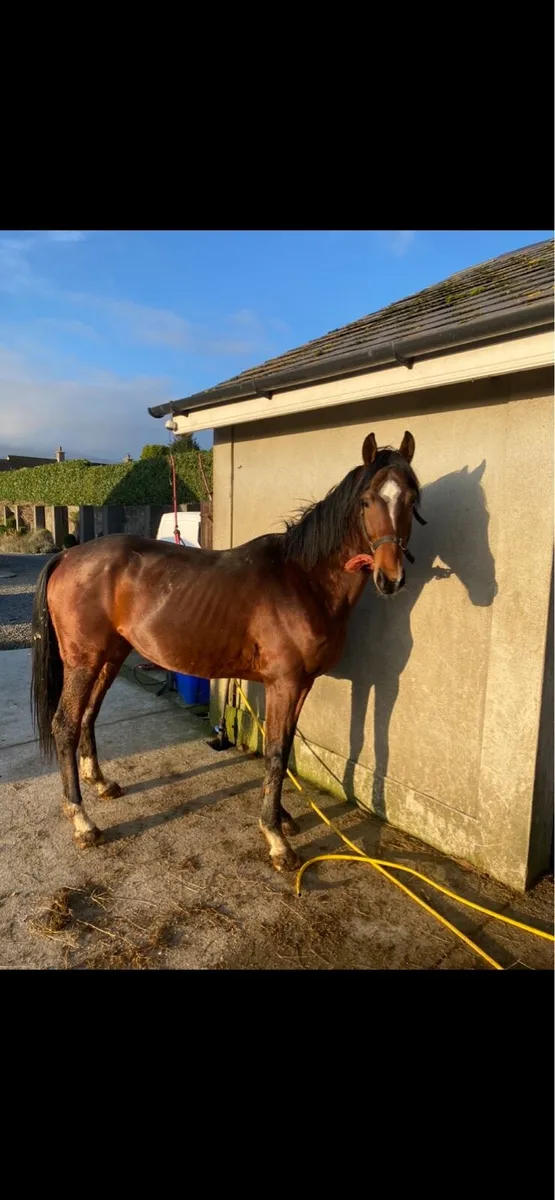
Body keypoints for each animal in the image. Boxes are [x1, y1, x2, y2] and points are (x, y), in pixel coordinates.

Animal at [31, 429, 422, 872]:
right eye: (367, 501)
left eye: (412, 499)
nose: (391, 578)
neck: (304, 579)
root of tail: (67, 554)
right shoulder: (285, 683)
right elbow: (275, 752)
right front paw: (276, 837)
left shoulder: (299, 685)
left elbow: (283, 748)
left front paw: (282, 817)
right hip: (83, 661)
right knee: (65, 723)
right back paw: (82, 822)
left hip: (110, 657)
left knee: (89, 715)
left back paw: (100, 783)